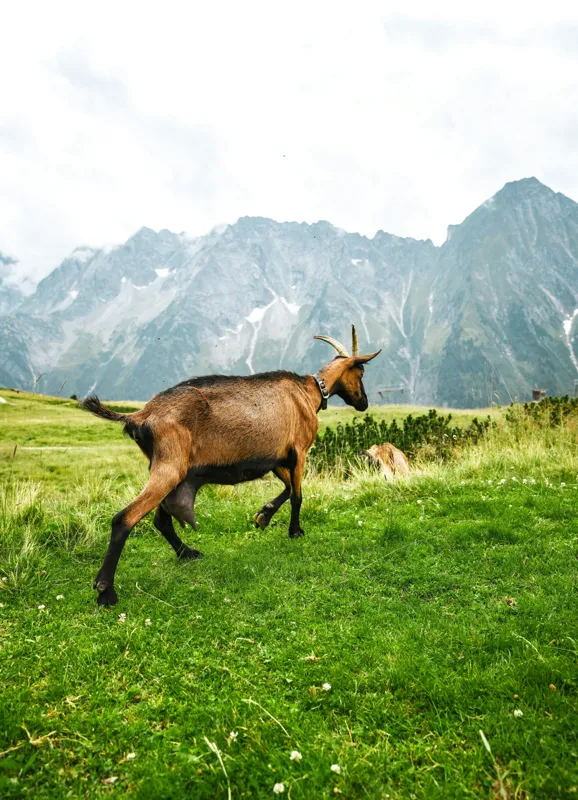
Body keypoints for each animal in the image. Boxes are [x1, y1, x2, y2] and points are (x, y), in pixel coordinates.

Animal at [80, 326, 381, 606]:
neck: (309, 392)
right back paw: (106, 591)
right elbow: (297, 495)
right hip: (170, 466)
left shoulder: (276, 458)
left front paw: (263, 515)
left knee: (160, 520)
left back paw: (187, 553)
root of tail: (140, 416)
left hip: (168, 468)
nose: (364, 402)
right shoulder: (299, 451)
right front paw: (295, 531)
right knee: (124, 519)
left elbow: (287, 488)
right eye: (361, 371)